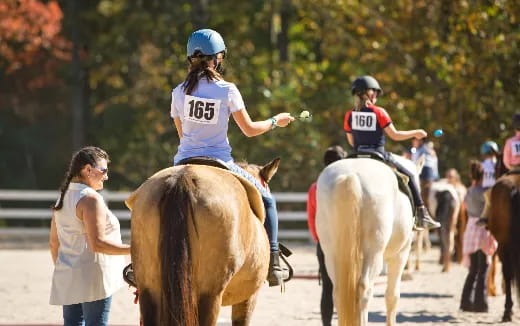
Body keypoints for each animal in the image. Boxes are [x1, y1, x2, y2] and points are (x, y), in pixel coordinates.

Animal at [316, 153, 422, 326]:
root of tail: (351, 176)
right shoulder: (401, 254)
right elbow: (392, 296)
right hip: (374, 254)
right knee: (364, 289)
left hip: (331, 254)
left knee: (338, 291)